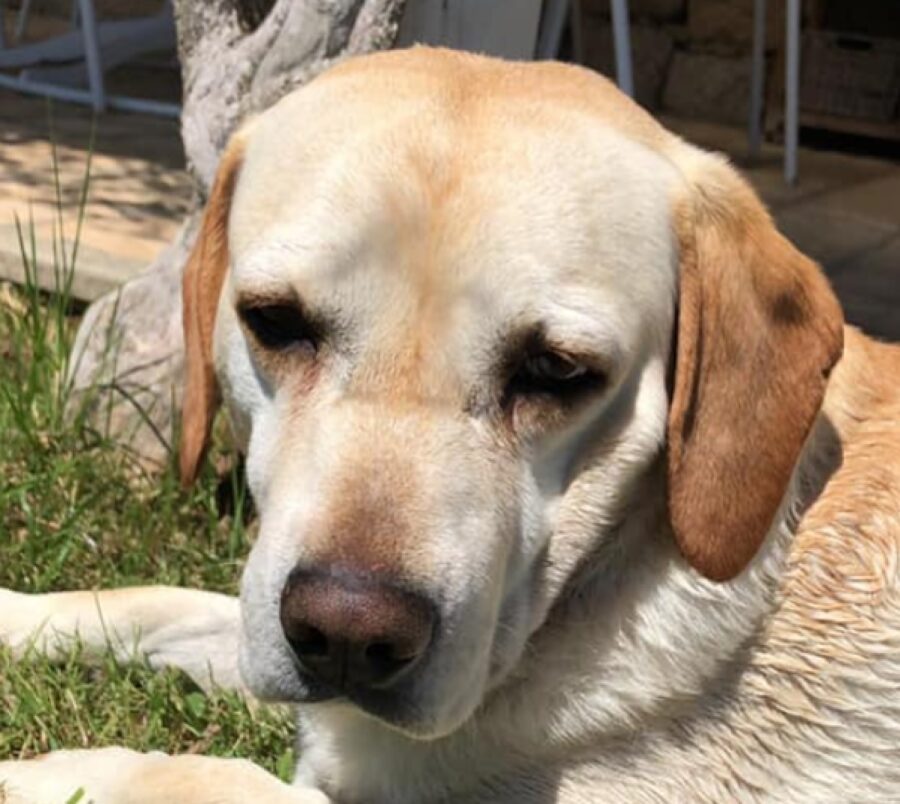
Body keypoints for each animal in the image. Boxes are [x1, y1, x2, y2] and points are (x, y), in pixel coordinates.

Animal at [1, 47, 900, 800]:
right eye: (275, 321)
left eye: (558, 370)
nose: (346, 635)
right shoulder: (266, 624)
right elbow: (149, 599)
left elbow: (198, 775)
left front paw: (50, 772)